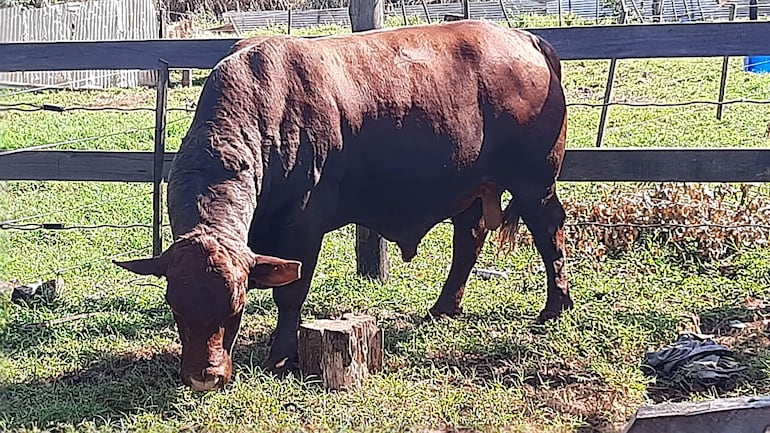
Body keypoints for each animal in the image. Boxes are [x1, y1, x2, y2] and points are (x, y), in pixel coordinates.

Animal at [114, 19, 568, 392]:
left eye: (236, 308)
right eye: (175, 306)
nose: (203, 376)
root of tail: (526, 38)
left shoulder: (303, 225)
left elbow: (290, 293)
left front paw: (281, 355)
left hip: (534, 184)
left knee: (549, 231)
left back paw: (556, 306)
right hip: (470, 190)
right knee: (468, 240)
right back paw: (444, 308)